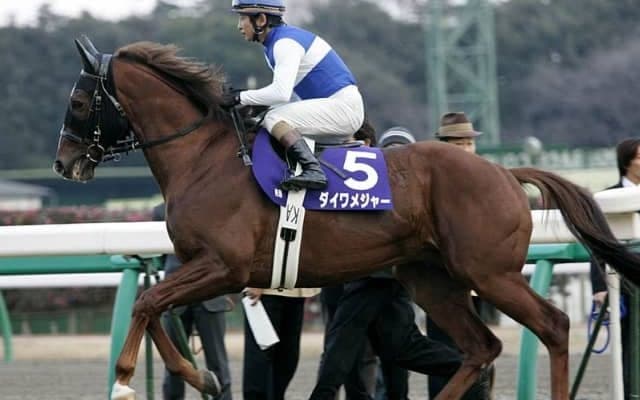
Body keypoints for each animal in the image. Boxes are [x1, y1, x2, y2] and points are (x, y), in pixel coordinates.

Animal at [53, 36, 640, 400]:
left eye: (79, 101)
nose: (64, 162)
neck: (204, 158)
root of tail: (502, 171)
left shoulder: (223, 266)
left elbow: (147, 303)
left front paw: (125, 379)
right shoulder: (199, 266)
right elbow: (154, 308)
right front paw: (202, 378)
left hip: (488, 272)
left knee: (553, 326)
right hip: (430, 277)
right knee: (482, 346)